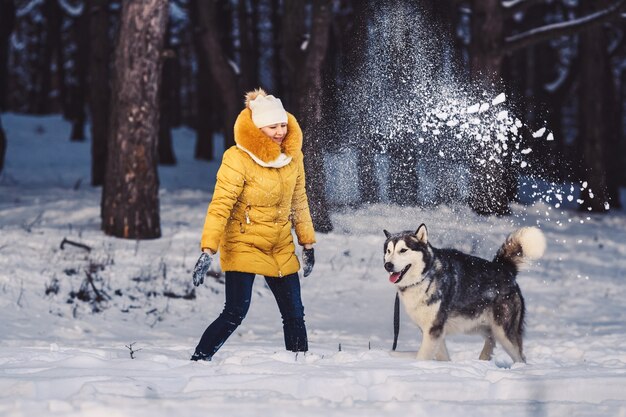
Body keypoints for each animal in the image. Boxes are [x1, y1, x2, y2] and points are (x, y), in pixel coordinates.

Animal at [380, 223, 540, 362]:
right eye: (388, 251)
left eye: (403, 250)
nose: (388, 265)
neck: (424, 277)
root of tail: (504, 268)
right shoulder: (433, 331)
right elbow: (442, 355)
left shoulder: (433, 329)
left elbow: (423, 356)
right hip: (476, 324)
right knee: (491, 339)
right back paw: (483, 359)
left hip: (504, 331)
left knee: (519, 357)